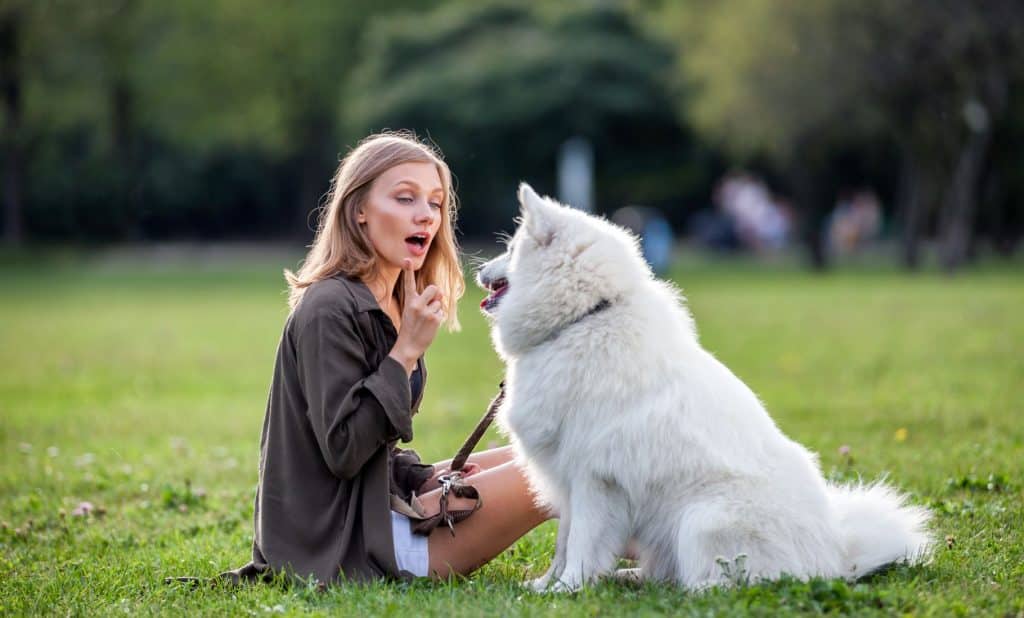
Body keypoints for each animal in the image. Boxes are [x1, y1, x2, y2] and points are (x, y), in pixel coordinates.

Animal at [475, 184, 933, 593]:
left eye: (511, 250)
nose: (477, 270)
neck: (585, 318)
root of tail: (839, 558)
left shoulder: (594, 477)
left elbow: (583, 545)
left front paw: (568, 589)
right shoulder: (565, 476)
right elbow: (564, 544)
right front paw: (544, 586)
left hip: (701, 519)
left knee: (725, 581)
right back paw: (630, 577)